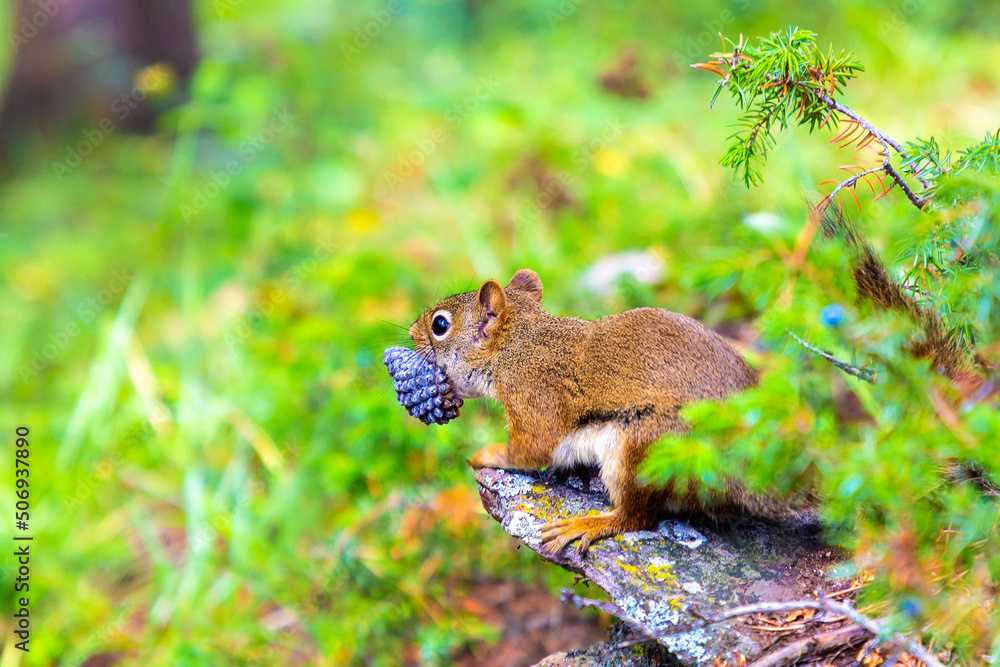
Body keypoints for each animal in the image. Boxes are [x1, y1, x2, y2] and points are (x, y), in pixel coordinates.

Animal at [408, 269, 808, 556]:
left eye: (440, 325)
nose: (411, 332)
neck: (518, 345)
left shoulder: (534, 397)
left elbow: (530, 450)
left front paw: (485, 455)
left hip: (641, 447)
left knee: (638, 517)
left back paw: (587, 525)